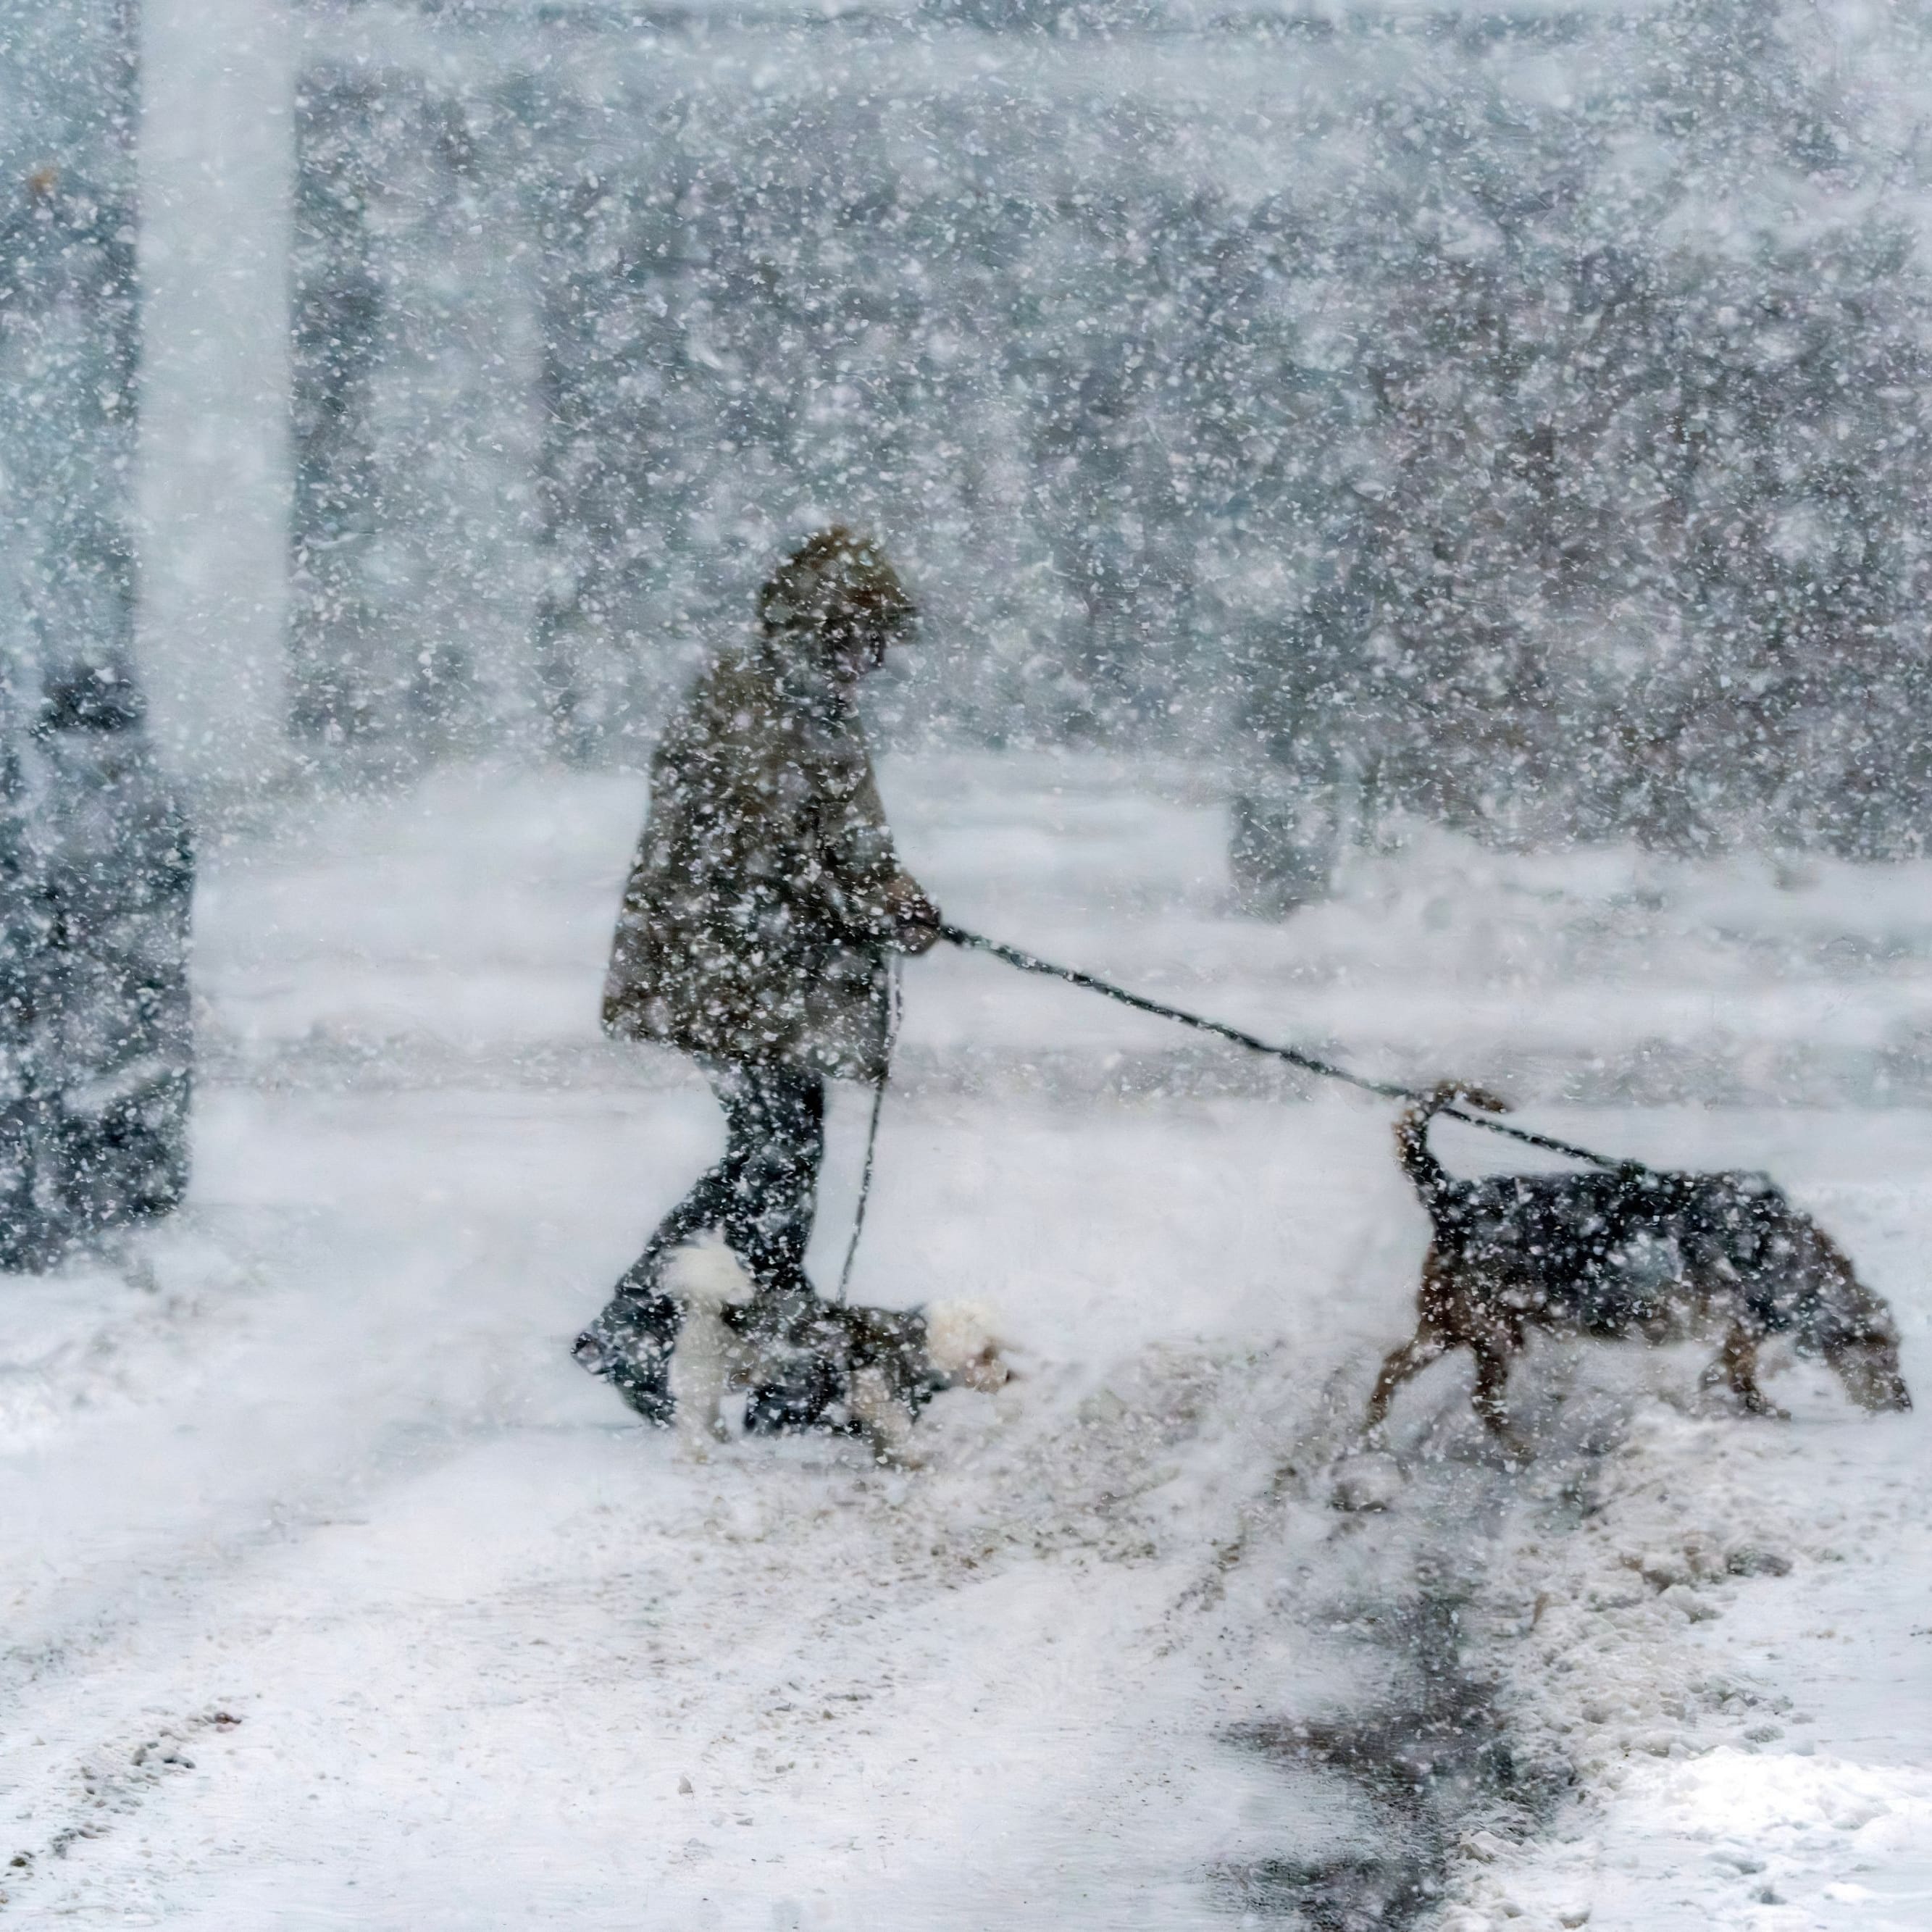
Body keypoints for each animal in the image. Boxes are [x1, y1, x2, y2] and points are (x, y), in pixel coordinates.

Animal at [661, 1236, 1004, 1460]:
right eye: (987, 1353)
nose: (1005, 1375)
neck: (910, 1341)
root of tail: (716, 1307)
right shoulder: (871, 1393)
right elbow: (896, 1423)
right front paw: (910, 1455)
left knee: (707, 1412)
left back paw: (720, 1436)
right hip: (704, 1375)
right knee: (690, 1418)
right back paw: (694, 1452)